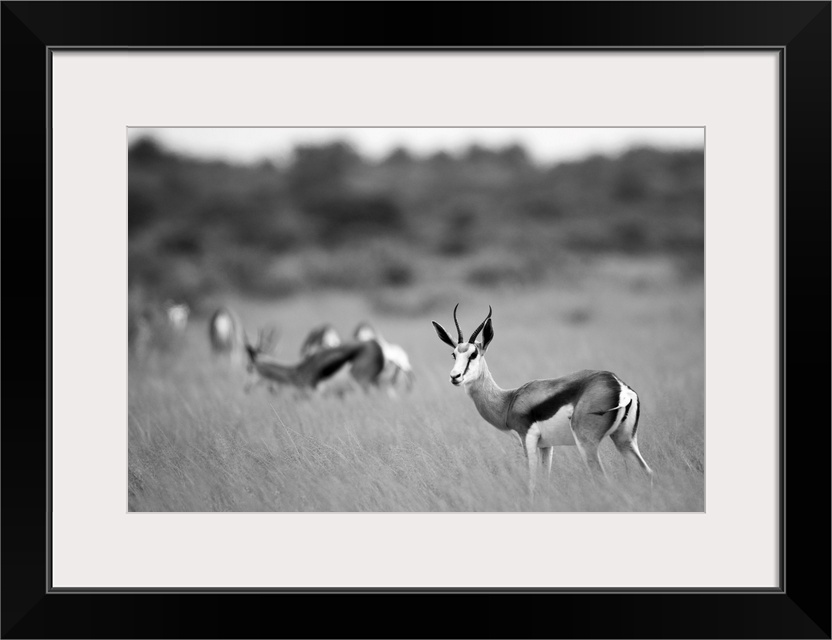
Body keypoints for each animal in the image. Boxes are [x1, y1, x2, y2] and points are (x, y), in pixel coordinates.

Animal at [432, 305, 653, 494]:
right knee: (646, 472)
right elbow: (545, 479)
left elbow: (531, 481)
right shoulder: (547, 446)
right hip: (624, 439)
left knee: (602, 477)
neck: (508, 401)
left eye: (474, 354)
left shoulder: (527, 439)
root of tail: (618, 385)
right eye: (453, 354)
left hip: (586, 442)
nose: (455, 377)